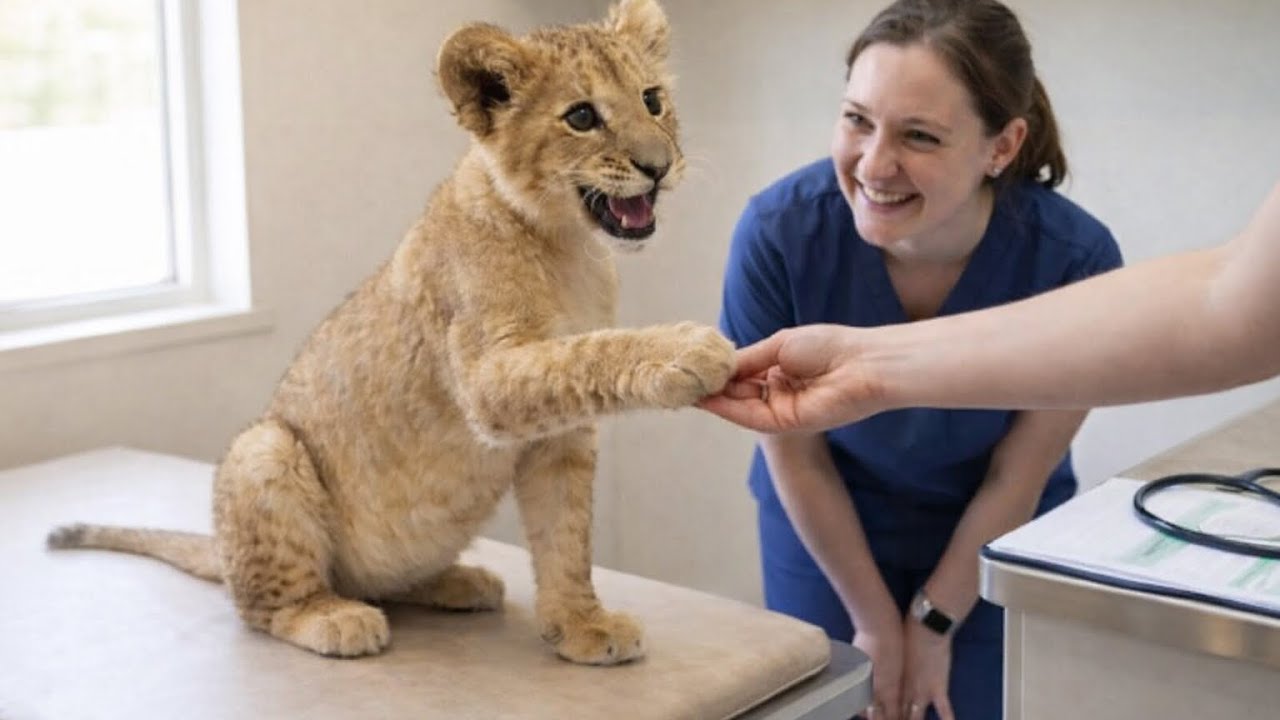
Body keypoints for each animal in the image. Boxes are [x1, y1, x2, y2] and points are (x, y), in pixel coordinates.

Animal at [46, 0, 734, 665]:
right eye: (582, 116)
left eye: (652, 100)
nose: (659, 166)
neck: (569, 247)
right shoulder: (485, 378)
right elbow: (591, 352)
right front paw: (687, 349)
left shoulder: (559, 436)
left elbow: (565, 535)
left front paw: (581, 627)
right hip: (264, 448)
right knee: (262, 607)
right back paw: (333, 618)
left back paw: (457, 582)